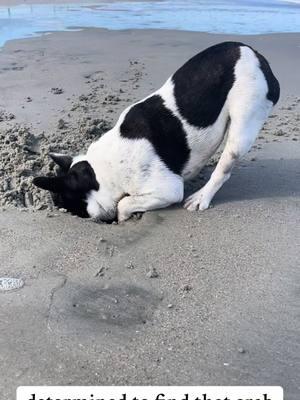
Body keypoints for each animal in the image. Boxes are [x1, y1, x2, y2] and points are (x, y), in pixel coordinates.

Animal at [34, 42, 280, 223]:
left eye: (70, 207)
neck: (100, 171)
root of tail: (258, 57)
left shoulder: (167, 189)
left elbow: (124, 202)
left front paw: (123, 217)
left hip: (244, 121)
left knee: (225, 166)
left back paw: (202, 196)